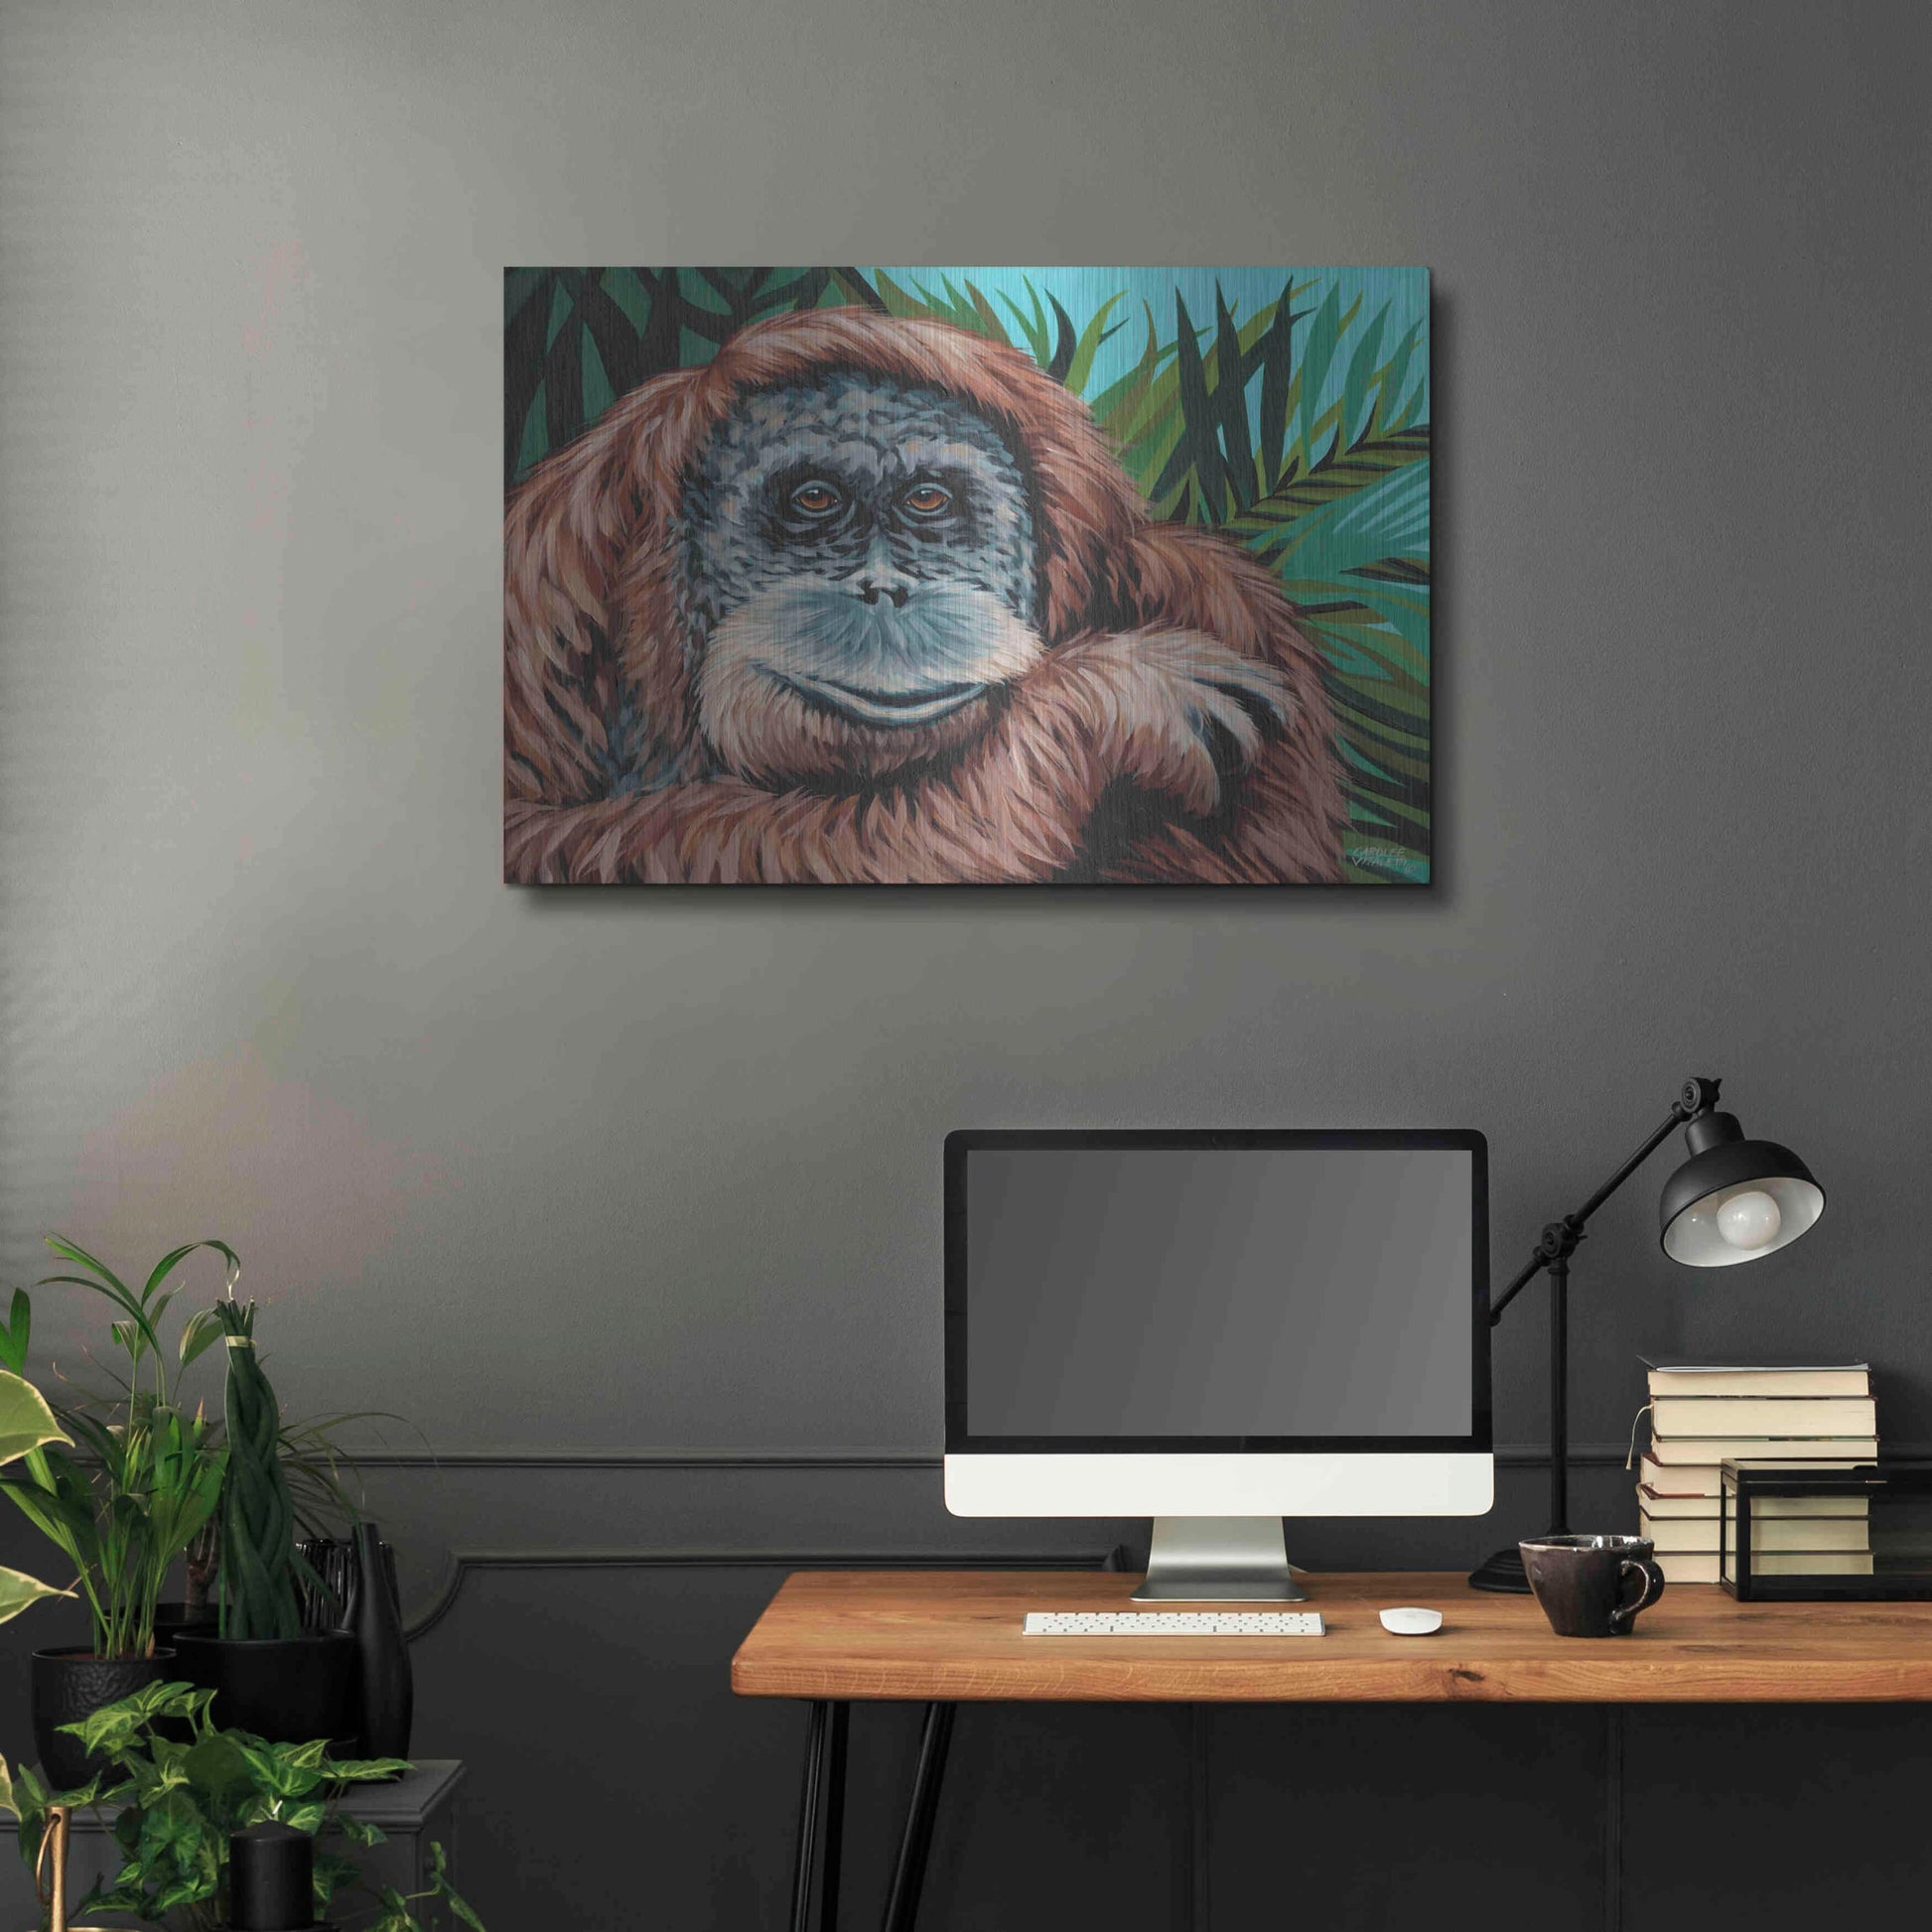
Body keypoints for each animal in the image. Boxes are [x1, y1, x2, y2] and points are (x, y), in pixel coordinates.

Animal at [504, 308, 1347, 884]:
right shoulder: (540, 591)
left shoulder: (1222, 597)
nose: (884, 591)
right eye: (815, 502)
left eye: (929, 502)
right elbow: (540, 838)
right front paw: (1102, 702)